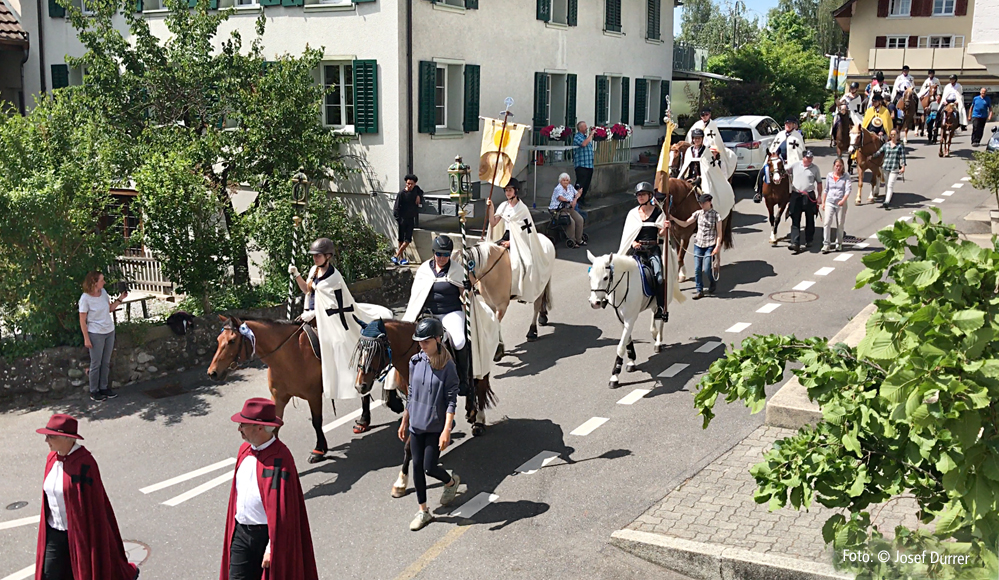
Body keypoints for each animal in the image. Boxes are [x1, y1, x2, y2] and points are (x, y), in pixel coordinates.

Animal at [207, 314, 406, 464]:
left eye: (232, 341)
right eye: (218, 340)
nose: (212, 373)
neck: (288, 354)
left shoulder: (313, 395)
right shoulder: (278, 398)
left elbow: (316, 422)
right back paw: (364, 421)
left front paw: (319, 450)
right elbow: (273, 426)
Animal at [354, 318, 498, 498]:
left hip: (480, 363)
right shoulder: (414, 401)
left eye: (376, 351)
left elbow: (410, 446)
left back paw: (478, 421)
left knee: (480, 387)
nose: (360, 386)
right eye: (360, 350)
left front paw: (401, 481)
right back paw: (470, 412)